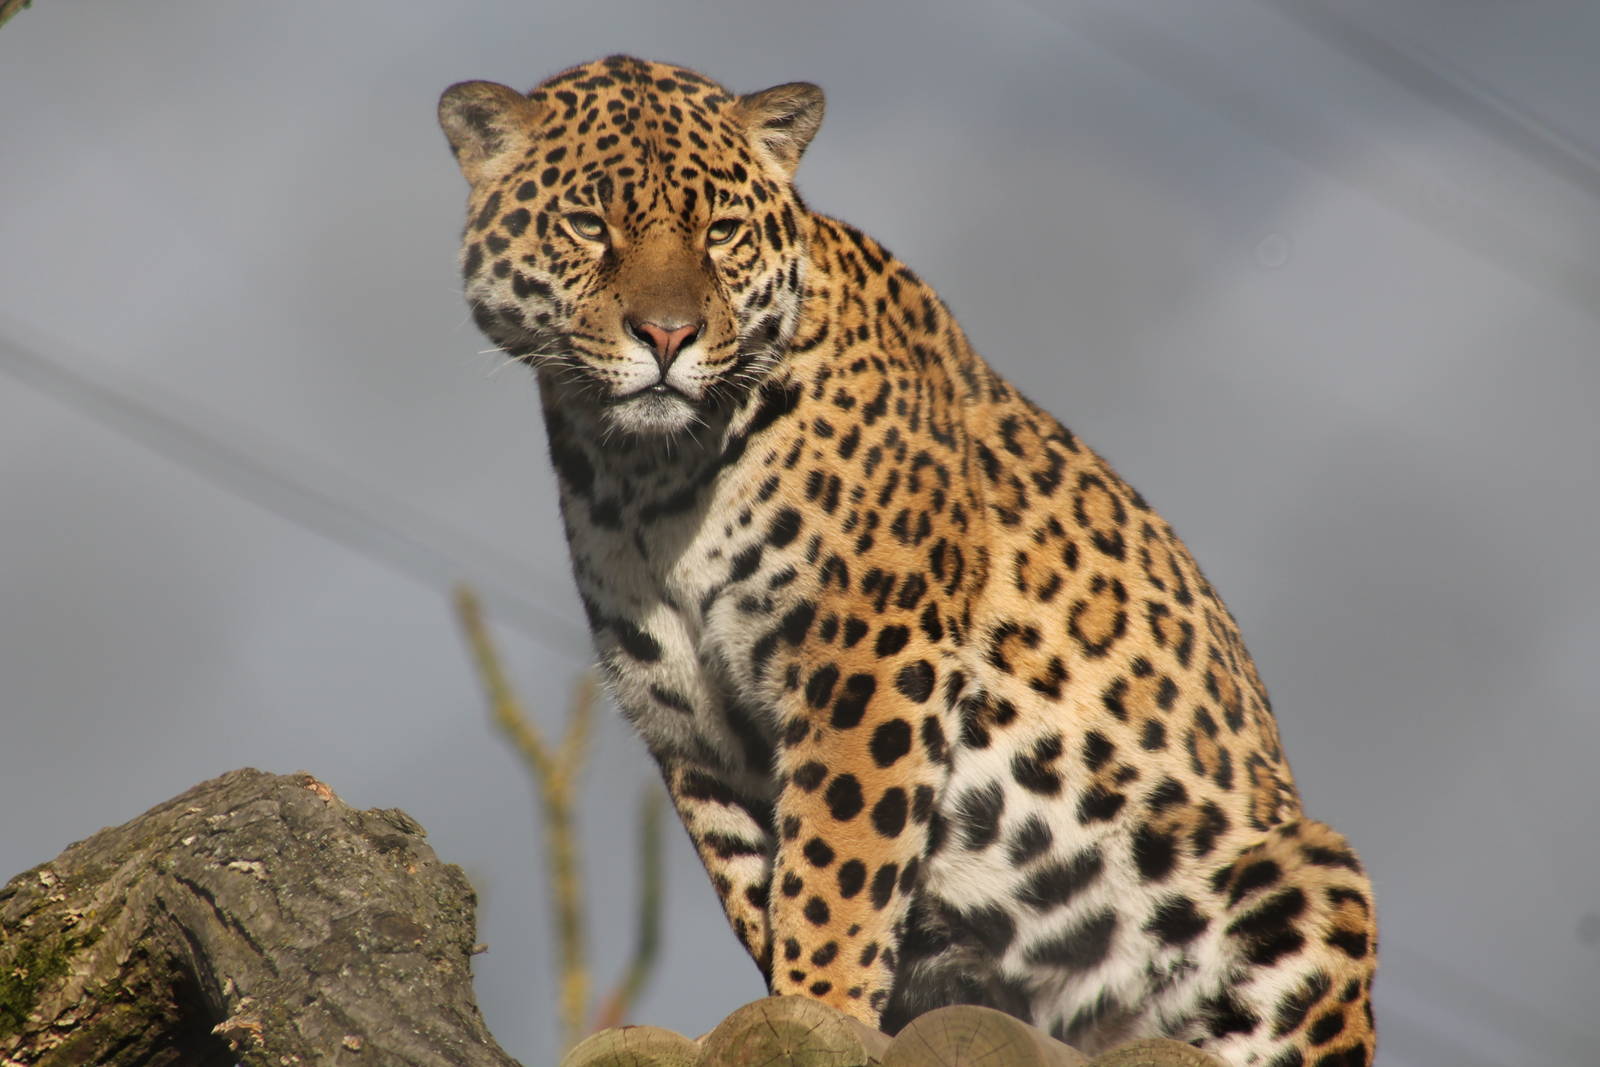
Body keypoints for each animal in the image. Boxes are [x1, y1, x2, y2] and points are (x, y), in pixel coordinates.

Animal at [438, 55, 1376, 1065]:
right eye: (588, 223)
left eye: (720, 232)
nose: (666, 336)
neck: (641, 471)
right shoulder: (688, 719)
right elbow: (756, 881)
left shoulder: (869, 656)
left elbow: (837, 862)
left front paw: (822, 1001)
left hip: (1305, 878)